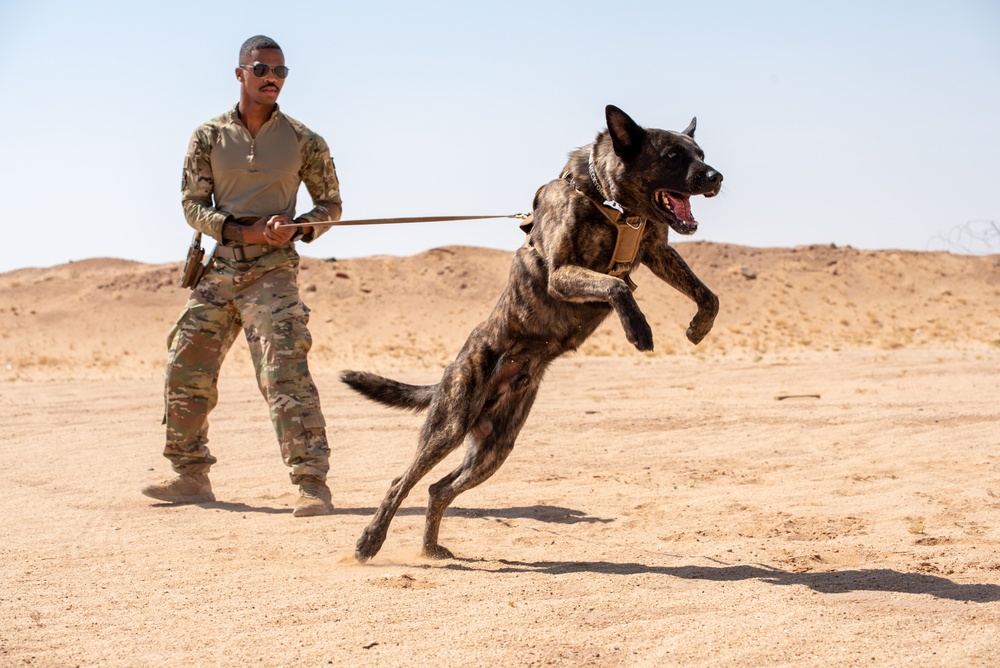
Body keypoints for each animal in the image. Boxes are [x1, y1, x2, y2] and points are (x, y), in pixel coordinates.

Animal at [342, 105, 720, 564]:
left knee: (437, 489)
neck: (609, 201)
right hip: (449, 426)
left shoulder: (656, 249)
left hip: (494, 449)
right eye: (671, 155)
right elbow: (616, 286)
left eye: (700, 153)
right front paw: (639, 329)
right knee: (403, 481)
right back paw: (369, 540)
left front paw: (699, 326)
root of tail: (451, 371)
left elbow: (708, 294)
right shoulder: (562, 274)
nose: (716, 177)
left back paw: (430, 548)